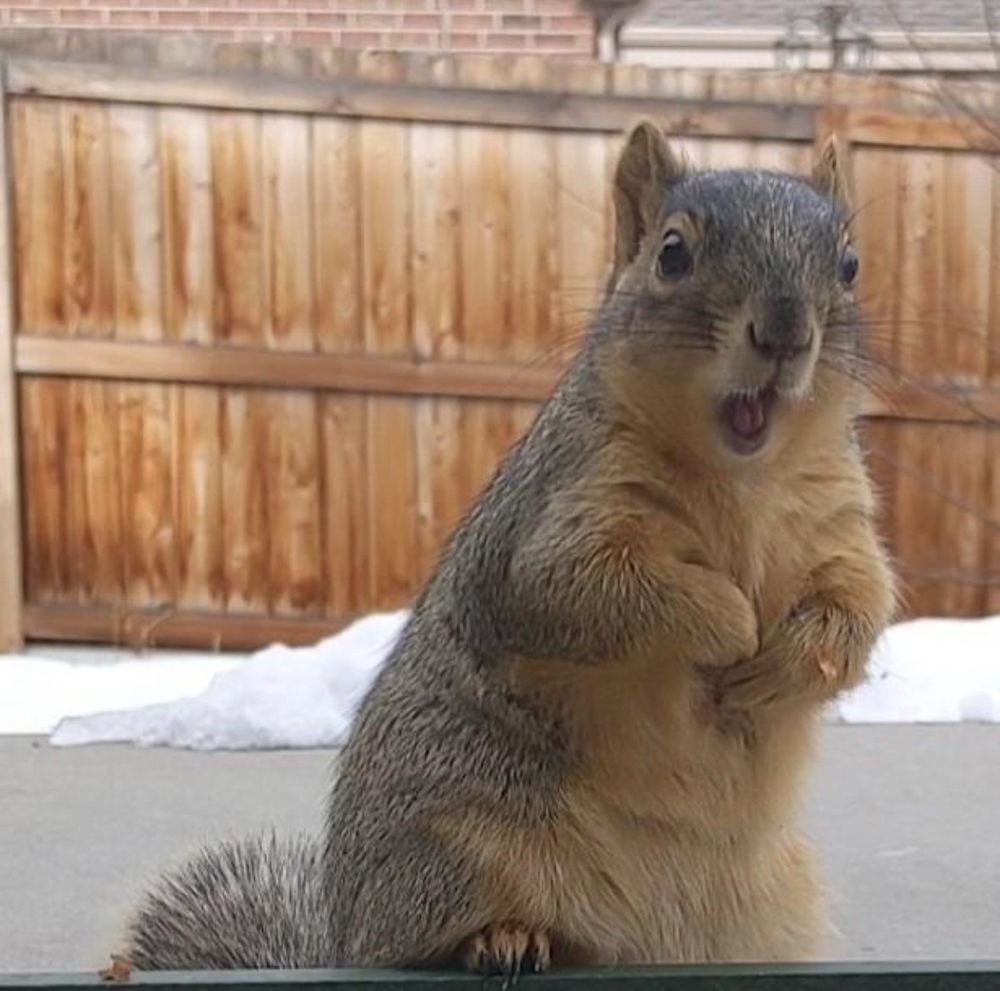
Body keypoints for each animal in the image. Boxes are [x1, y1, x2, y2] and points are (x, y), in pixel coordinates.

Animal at [121, 120, 896, 976]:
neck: (745, 479)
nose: (785, 330)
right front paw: (728, 623)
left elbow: (856, 611)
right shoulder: (545, 527)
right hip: (462, 848)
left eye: (851, 265)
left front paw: (782, 662)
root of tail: (346, 931)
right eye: (671, 253)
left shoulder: (840, 526)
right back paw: (504, 936)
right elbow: (597, 593)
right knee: (430, 935)